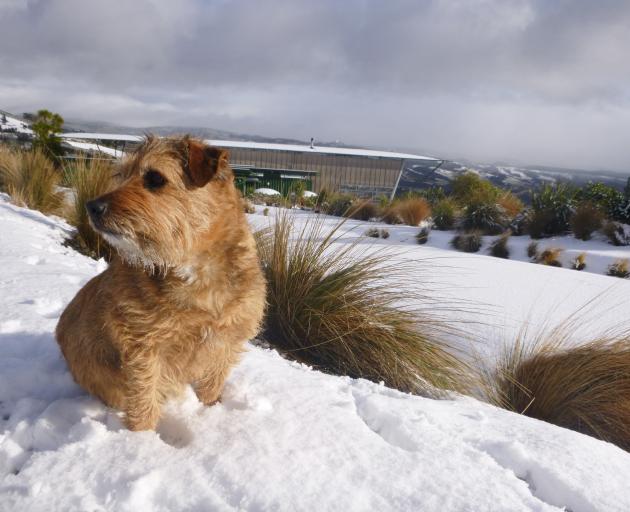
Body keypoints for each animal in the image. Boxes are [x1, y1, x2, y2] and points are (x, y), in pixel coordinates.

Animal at [55, 137, 270, 432]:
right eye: (121, 175)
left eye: (155, 178)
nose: (92, 206)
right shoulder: (144, 348)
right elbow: (144, 398)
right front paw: (140, 438)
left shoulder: (226, 341)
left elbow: (211, 385)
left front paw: (211, 411)